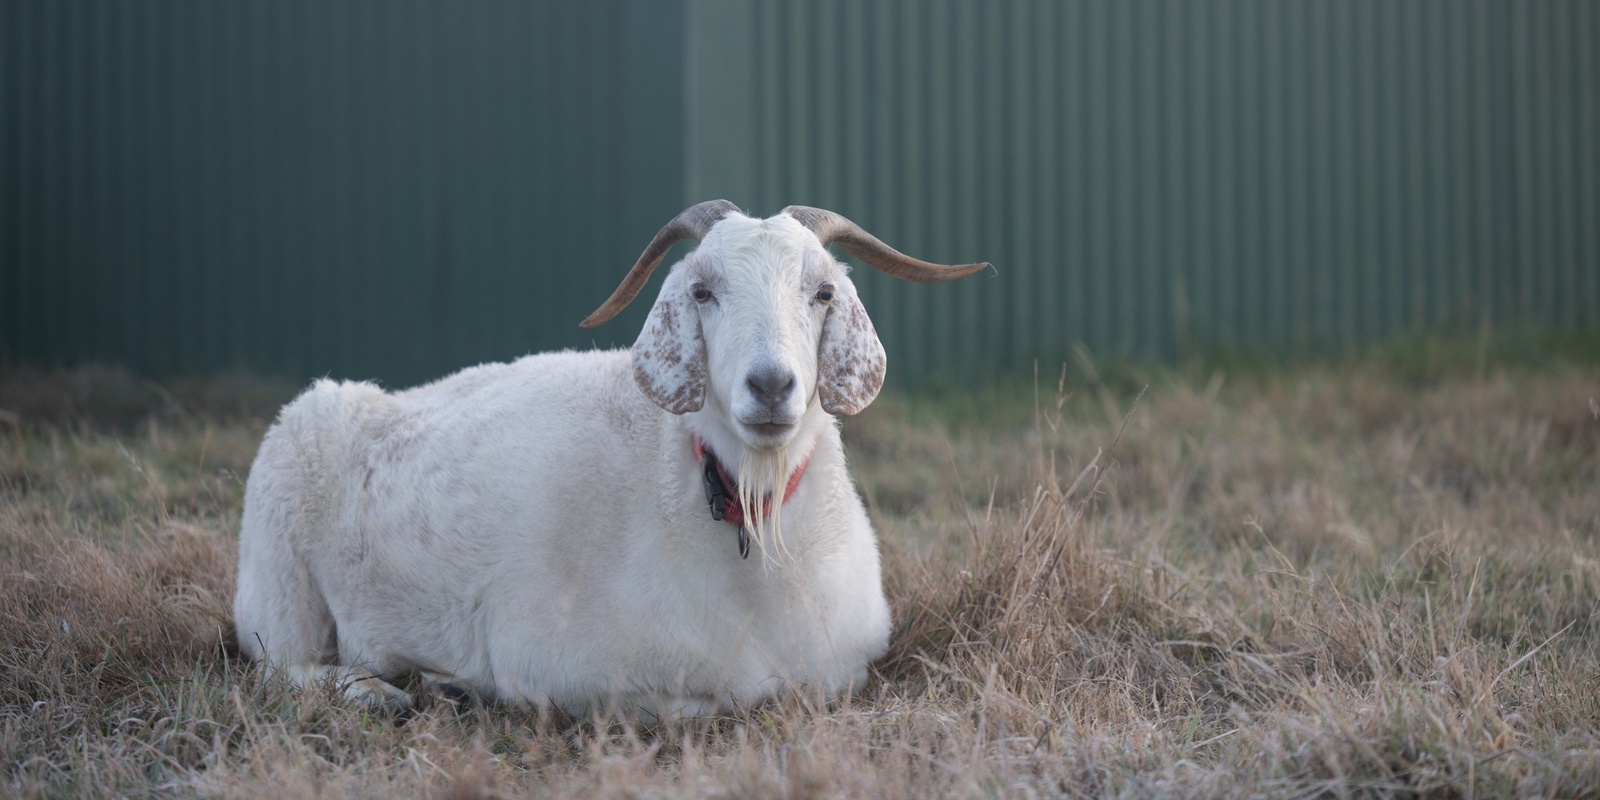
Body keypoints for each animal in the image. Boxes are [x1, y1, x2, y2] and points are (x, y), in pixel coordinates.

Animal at [233, 200, 985, 720]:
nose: (771, 386)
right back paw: (385, 692)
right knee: (278, 666)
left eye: (823, 292)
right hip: (278, 584)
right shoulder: (563, 668)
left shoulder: (845, 667)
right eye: (702, 292)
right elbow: (700, 705)